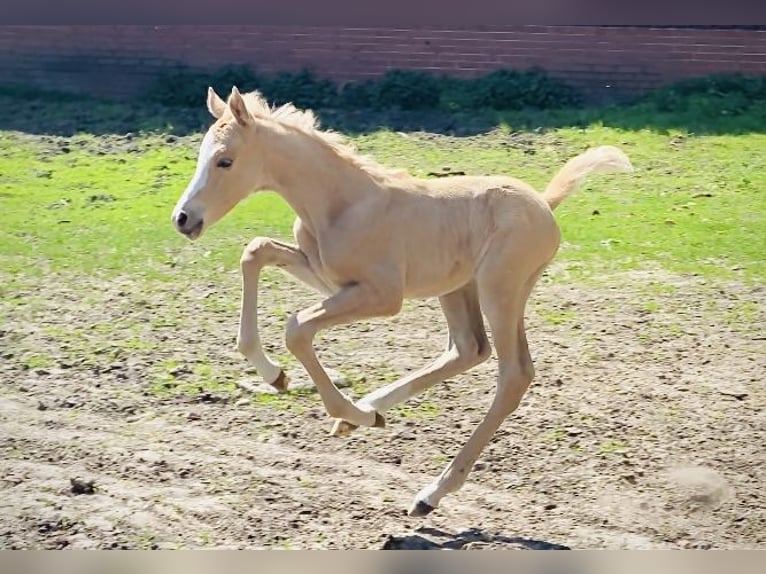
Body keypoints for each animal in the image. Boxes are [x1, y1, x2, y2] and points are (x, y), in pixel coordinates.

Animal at [174, 88, 636, 520]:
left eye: (225, 161)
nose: (183, 218)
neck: (342, 202)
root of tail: (544, 203)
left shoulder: (383, 295)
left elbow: (297, 327)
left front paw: (324, 399)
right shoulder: (328, 278)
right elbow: (255, 251)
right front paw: (277, 376)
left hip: (500, 290)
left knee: (513, 374)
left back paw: (428, 490)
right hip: (456, 288)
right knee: (468, 349)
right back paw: (370, 413)